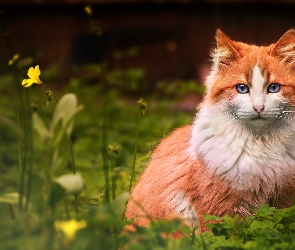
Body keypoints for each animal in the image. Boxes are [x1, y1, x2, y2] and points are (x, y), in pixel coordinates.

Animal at [125, 28, 295, 232]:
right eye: (242, 88)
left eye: (274, 88)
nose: (258, 107)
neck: (260, 143)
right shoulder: (219, 206)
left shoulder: (283, 199)